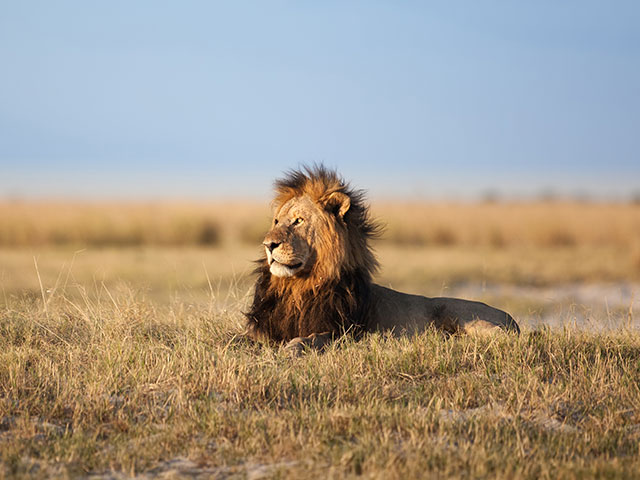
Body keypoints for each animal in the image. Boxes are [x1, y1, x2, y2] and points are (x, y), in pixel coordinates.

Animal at [245, 165, 520, 352]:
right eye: (276, 221)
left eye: (298, 221)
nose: (268, 245)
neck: (299, 287)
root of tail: (512, 318)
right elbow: (238, 337)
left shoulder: (344, 333)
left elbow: (312, 338)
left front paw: (293, 347)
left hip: (463, 315)